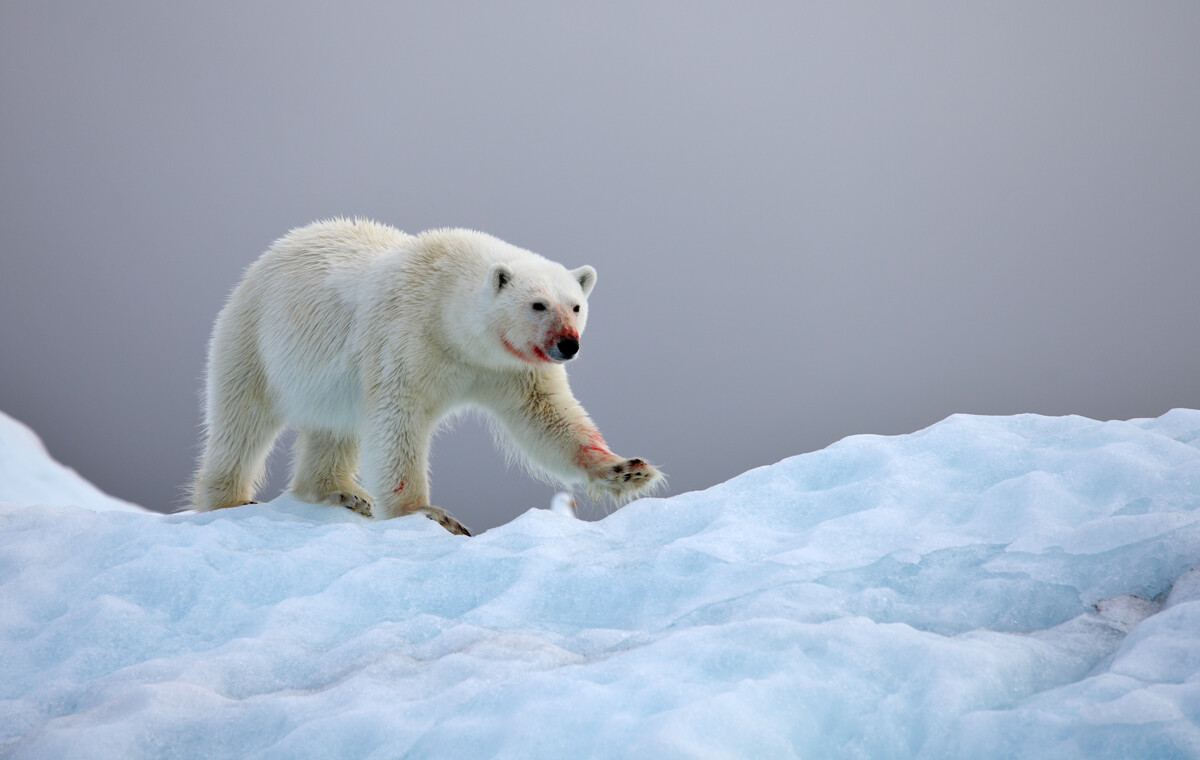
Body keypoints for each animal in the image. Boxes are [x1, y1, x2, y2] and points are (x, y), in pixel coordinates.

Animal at [195, 216, 667, 530]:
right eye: (538, 304)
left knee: (335, 428)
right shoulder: (407, 337)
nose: (568, 344)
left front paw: (627, 470)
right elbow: (397, 418)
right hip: (252, 340)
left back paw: (343, 493)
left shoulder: (508, 368)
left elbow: (547, 417)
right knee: (241, 423)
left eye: (576, 305)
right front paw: (429, 514)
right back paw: (230, 501)